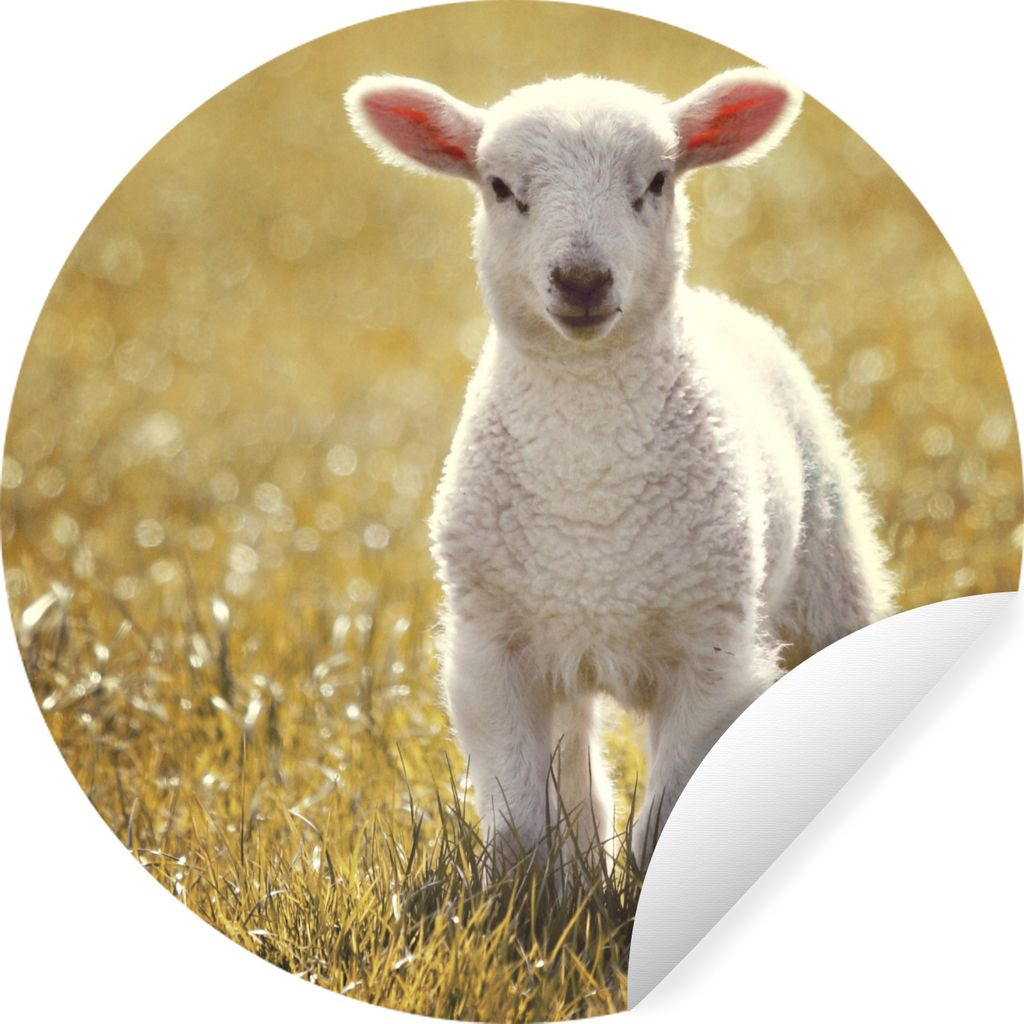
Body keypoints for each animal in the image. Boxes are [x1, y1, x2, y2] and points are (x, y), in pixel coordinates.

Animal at [344, 69, 895, 875]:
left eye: (657, 181)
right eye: (500, 187)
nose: (581, 278)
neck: (591, 497)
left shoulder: (713, 649)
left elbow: (668, 812)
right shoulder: (492, 648)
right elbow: (521, 814)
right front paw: (530, 893)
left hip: (828, 577)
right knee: (575, 763)